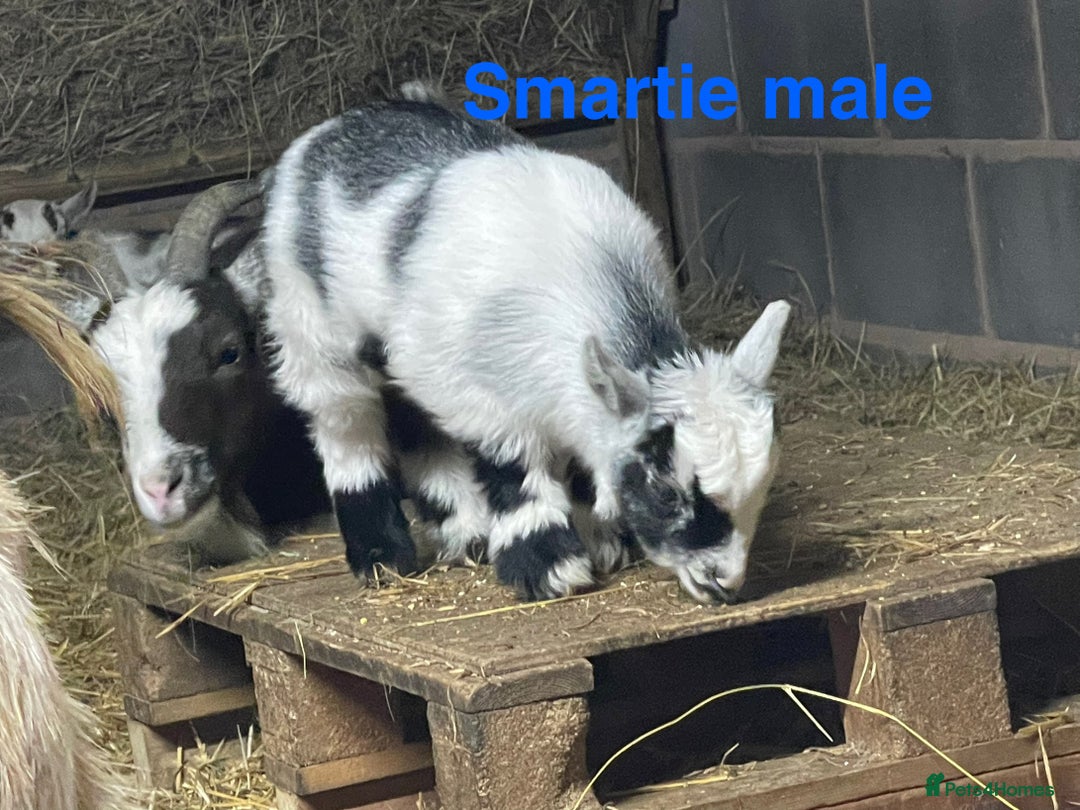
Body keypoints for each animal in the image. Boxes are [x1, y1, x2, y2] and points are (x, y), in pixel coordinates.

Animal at [255, 100, 791, 603]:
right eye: (665, 494)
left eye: (763, 485)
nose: (723, 582)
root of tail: (333, 127)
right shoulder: (486, 401)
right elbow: (517, 472)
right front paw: (550, 567)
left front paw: (600, 541)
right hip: (310, 323)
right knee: (344, 424)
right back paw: (382, 555)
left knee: (416, 422)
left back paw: (465, 531)